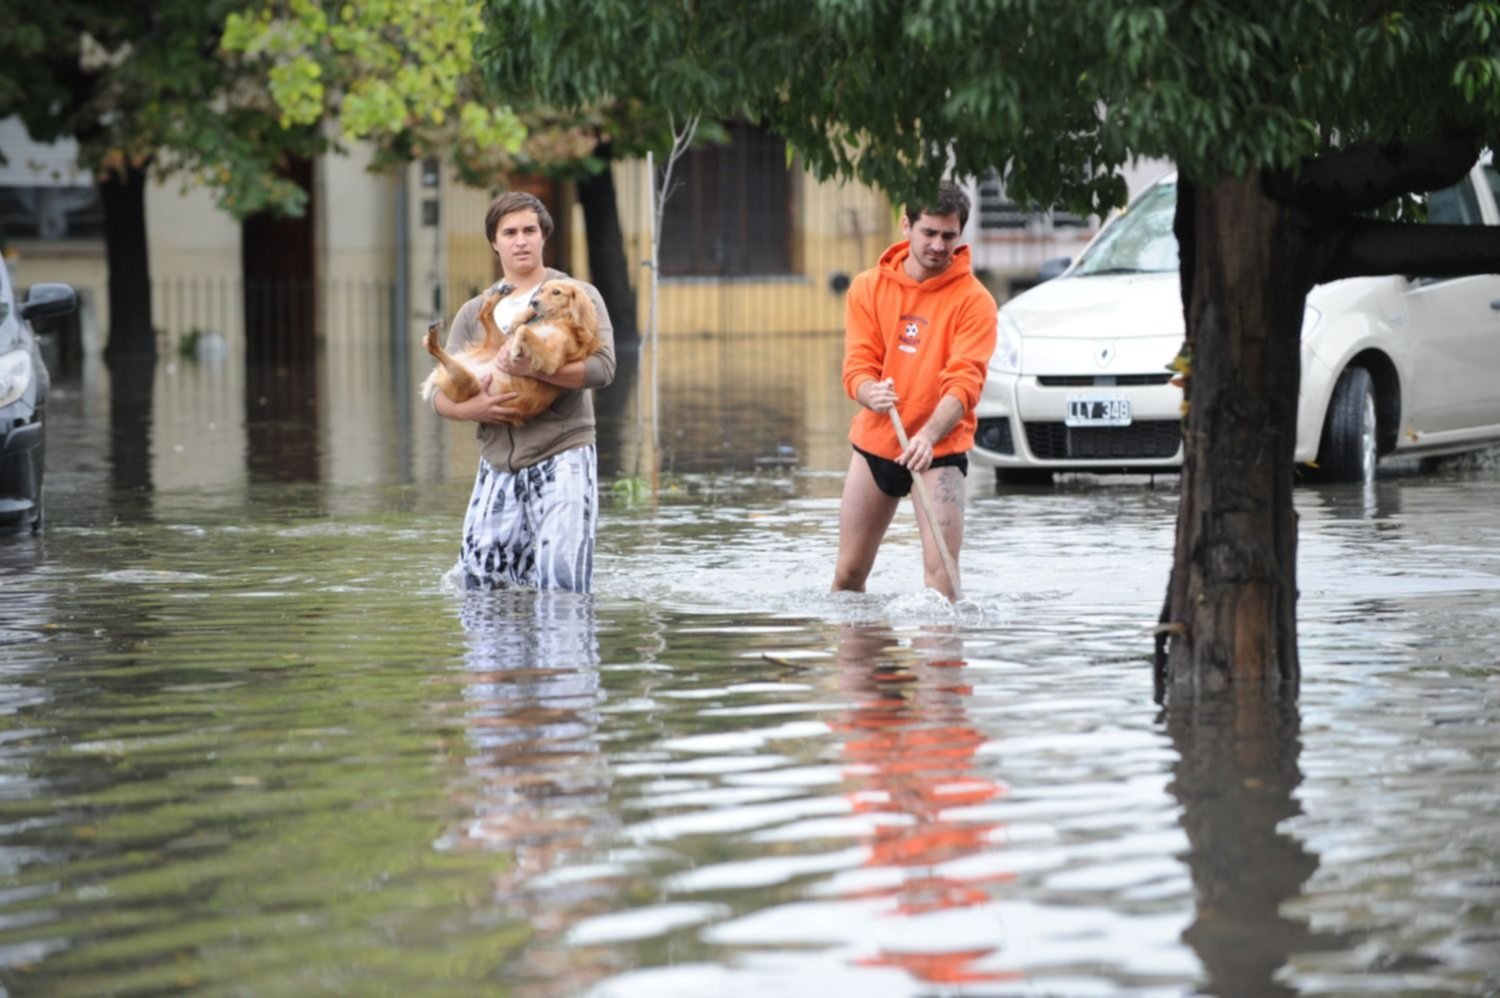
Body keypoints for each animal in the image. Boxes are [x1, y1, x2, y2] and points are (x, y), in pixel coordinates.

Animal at [420, 277, 600, 426]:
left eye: (556, 292)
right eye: (542, 290)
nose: (534, 301)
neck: (560, 320)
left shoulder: (552, 361)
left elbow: (524, 330)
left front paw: (515, 350)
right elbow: (523, 326)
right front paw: (519, 324)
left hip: (470, 383)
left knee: (436, 350)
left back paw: (433, 339)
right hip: (496, 343)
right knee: (484, 314)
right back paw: (503, 292)